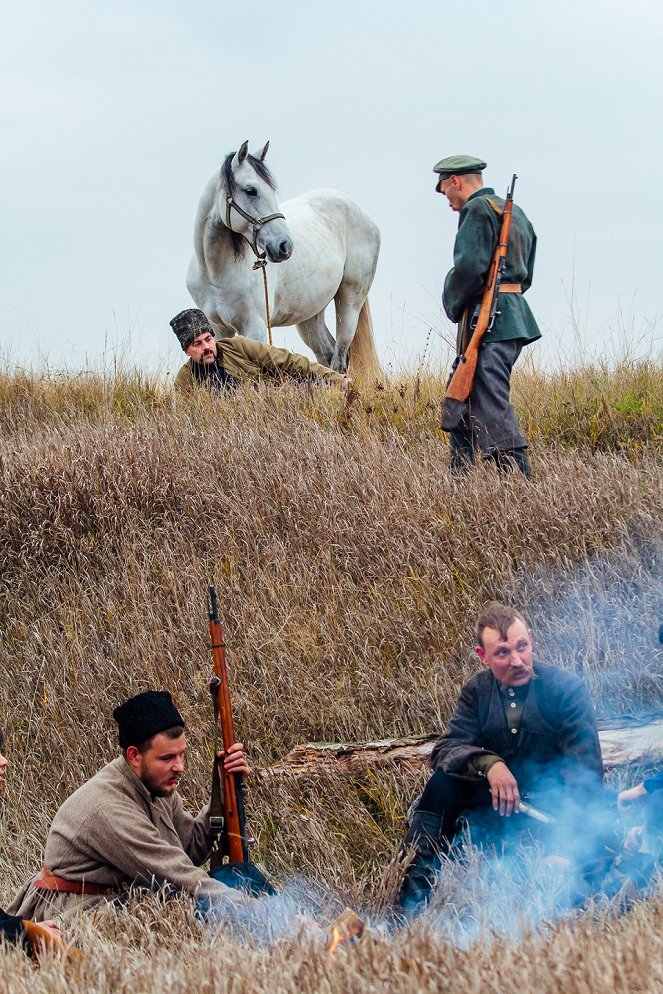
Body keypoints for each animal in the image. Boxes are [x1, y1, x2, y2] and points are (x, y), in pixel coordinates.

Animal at [187, 143, 384, 380]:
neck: (215, 272)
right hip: (310, 316)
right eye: (250, 190)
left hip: (349, 302)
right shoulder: (217, 329)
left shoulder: (255, 328)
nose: (284, 246)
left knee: (340, 357)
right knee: (326, 355)